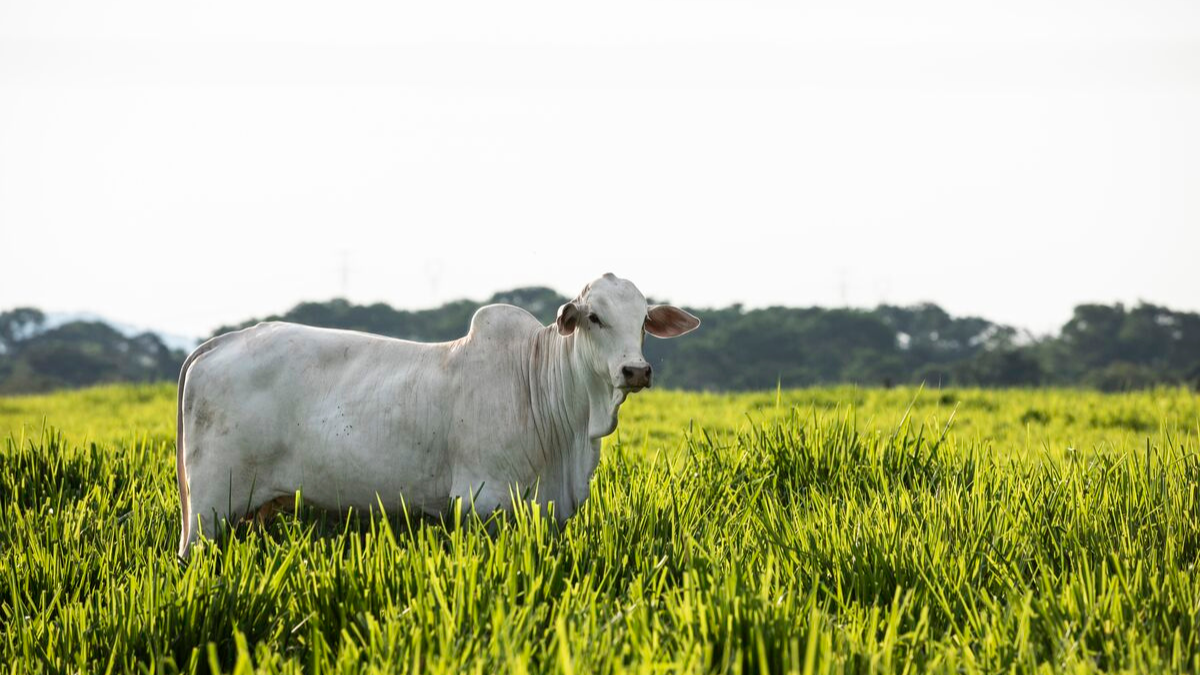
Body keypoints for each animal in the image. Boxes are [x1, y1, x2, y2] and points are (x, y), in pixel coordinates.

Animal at [178, 270, 700, 554]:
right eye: (594, 317)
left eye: (644, 320)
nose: (636, 370)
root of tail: (219, 342)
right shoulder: (481, 502)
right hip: (208, 508)